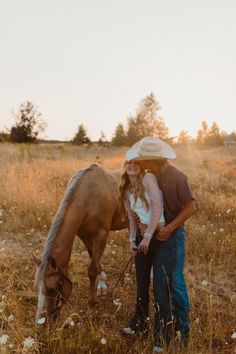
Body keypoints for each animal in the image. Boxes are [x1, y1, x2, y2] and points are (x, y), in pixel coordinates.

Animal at [33, 164, 127, 324]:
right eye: (36, 287)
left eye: (52, 288)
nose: (41, 322)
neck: (88, 197)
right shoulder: (85, 235)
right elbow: (95, 261)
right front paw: (102, 285)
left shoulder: (101, 235)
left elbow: (92, 269)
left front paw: (91, 308)